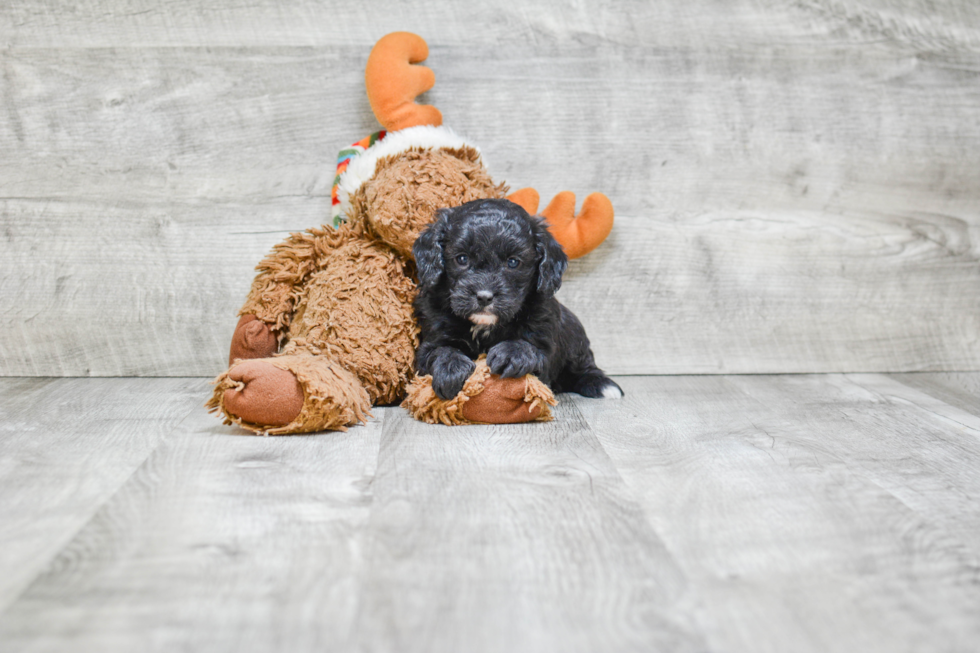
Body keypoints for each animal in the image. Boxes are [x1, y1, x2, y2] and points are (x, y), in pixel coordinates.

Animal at [412, 199, 624, 400]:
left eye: (513, 262)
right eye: (462, 259)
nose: (484, 296)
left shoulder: (543, 338)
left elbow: (531, 349)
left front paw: (512, 354)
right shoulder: (432, 336)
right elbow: (440, 350)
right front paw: (451, 368)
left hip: (574, 333)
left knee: (582, 366)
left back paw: (601, 384)